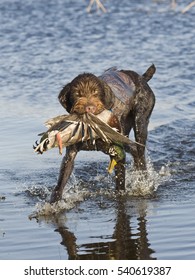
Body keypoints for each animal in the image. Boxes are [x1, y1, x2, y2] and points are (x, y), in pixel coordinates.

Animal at [50, 64, 155, 202]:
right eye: (77, 93)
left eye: (96, 92)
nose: (89, 108)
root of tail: (141, 78)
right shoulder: (70, 155)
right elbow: (60, 183)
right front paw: (53, 203)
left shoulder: (117, 152)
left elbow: (120, 182)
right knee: (134, 150)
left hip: (140, 123)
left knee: (140, 153)